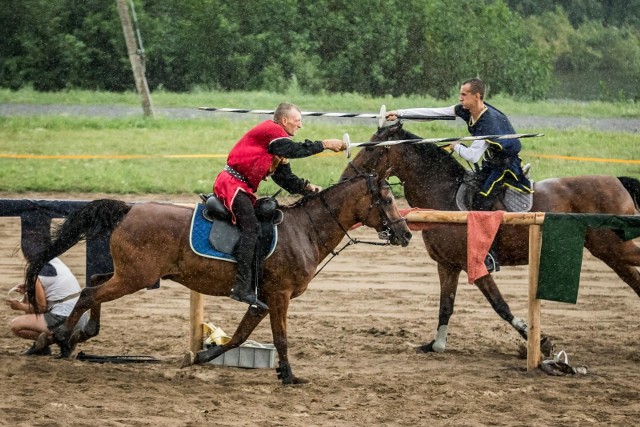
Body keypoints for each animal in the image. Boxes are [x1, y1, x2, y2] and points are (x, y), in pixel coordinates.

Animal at [23, 173, 410, 384]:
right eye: (387, 198)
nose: (405, 234)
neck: (306, 230)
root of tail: (130, 208)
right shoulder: (279, 296)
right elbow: (281, 338)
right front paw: (287, 375)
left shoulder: (262, 300)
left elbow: (239, 336)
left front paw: (199, 357)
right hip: (136, 276)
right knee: (90, 292)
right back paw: (62, 337)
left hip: (133, 274)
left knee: (96, 282)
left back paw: (76, 334)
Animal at [342, 123, 640, 354]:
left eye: (371, 148)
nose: (345, 178)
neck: (444, 196)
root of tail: (618, 181)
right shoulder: (448, 265)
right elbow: (446, 306)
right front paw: (436, 344)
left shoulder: (475, 264)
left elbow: (500, 305)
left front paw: (540, 342)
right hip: (611, 253)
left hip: (614, 248)